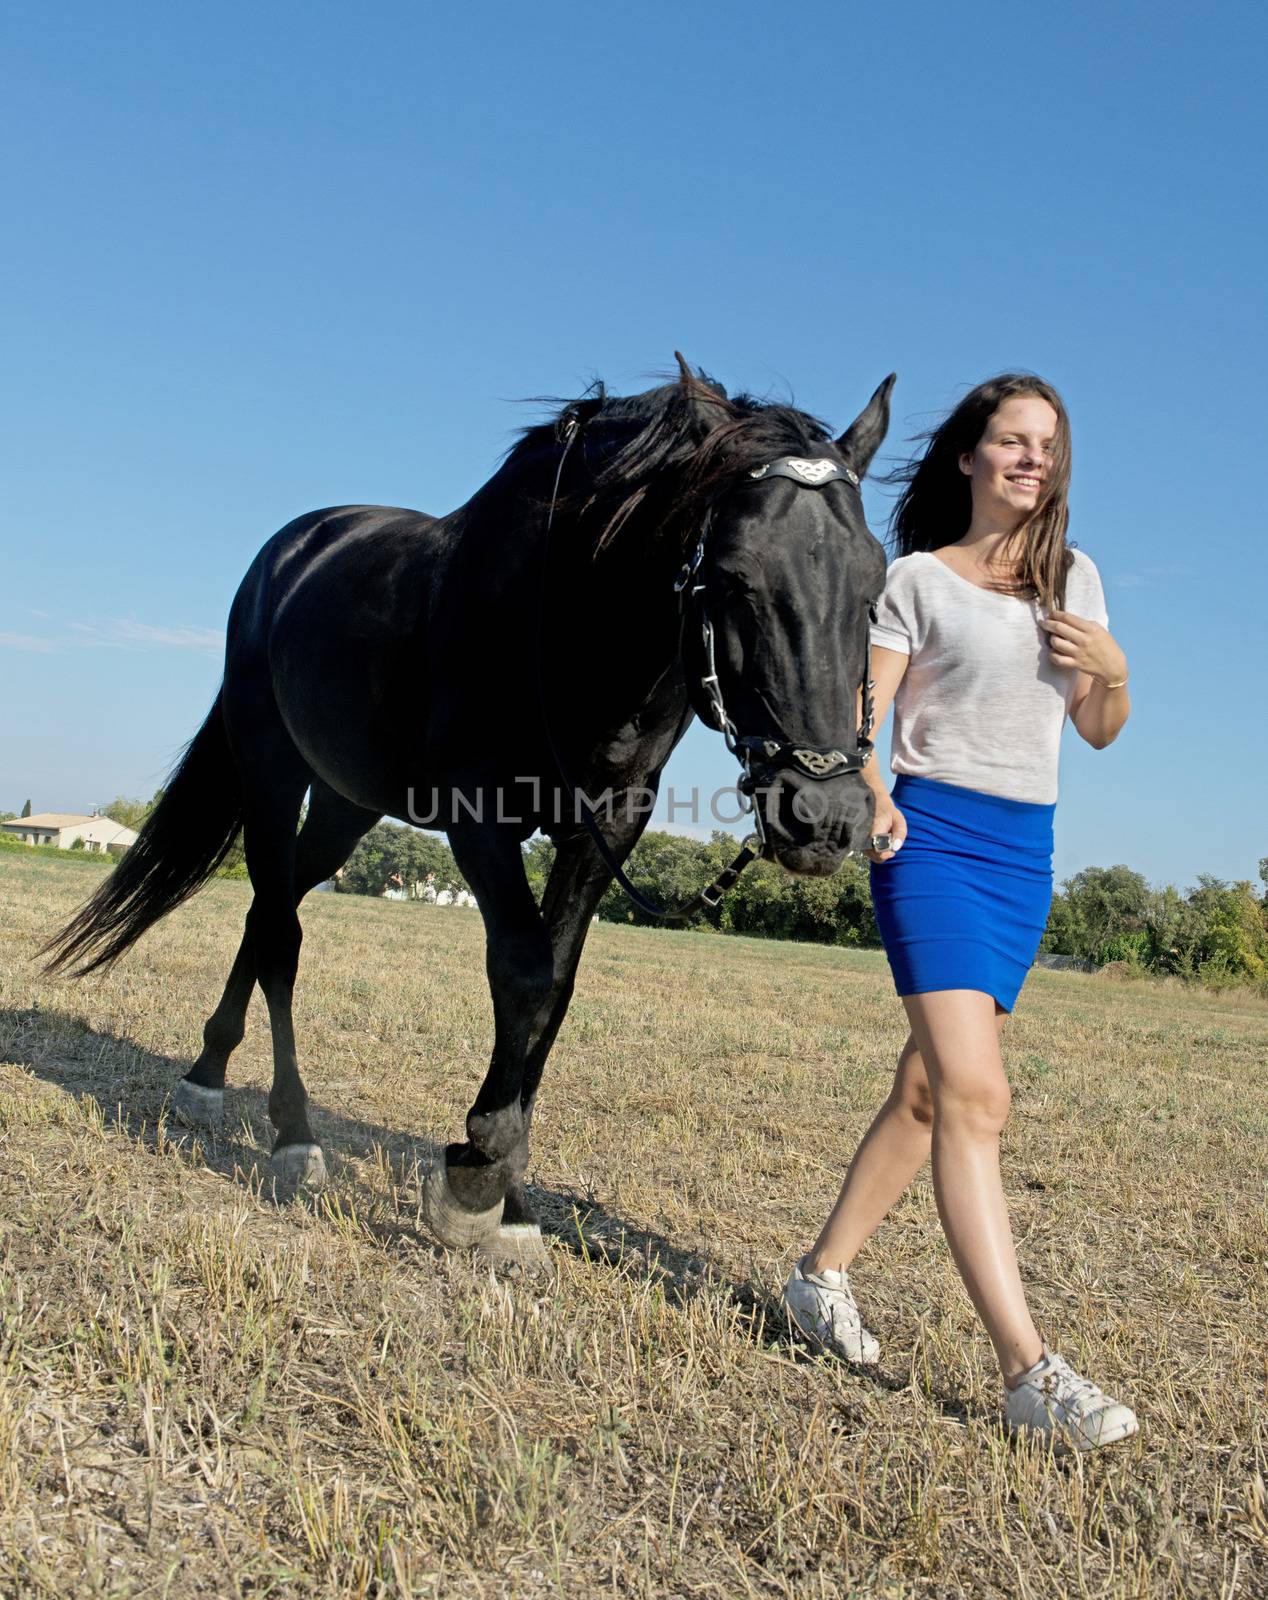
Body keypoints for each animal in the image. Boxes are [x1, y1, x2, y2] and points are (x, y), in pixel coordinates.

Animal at [42, 360, 890, 1260]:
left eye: (875, 585)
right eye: (731, 573)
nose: (826, 818)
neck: (564, 623)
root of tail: (290, 552)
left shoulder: (606, 827)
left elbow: (555, 990)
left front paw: (504, 1191)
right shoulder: (478, 814)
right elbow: (521, 971)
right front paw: (480, 1176)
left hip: (344, 804)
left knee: (271, 908)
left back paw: (207, 1075)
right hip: (272, 769)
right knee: (279, 932)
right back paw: (292, 1134)